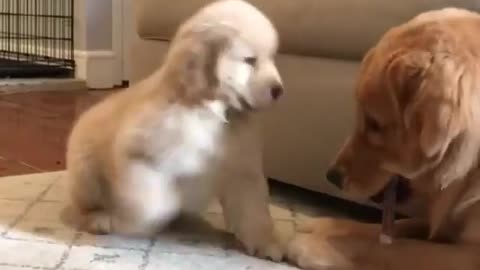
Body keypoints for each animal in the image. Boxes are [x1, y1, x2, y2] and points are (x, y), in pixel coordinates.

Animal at [67, 0, 284, 262]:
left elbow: (254, 210)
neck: (210, 113)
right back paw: (99, 220)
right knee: (83, 206)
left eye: (272, 58)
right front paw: (138, 221)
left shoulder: (242, 170)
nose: (279, 90)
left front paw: (267, 244)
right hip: (85, 171)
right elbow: (156, 202)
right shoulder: (140, 156)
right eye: (250, 60)